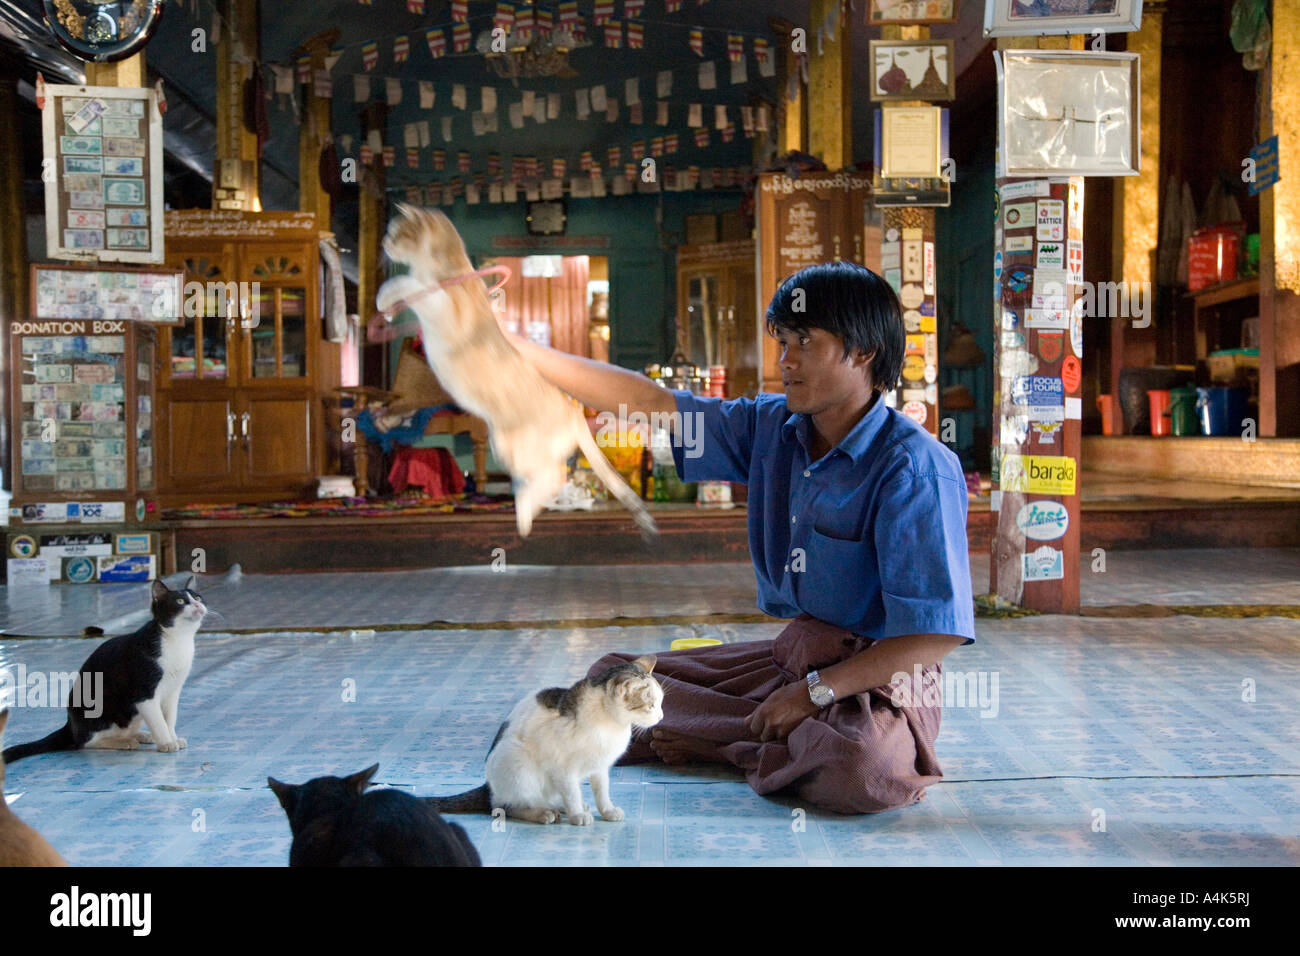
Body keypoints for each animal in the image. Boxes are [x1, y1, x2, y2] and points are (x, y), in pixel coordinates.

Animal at [0, 574, 205, 764]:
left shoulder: (173, 691)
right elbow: (158, 721)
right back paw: (124, 742)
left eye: (198, 597)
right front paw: (167, 743)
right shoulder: (144, 693)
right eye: (180, 601)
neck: (178, 640)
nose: (198, 606)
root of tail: (70, 724)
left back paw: (140, 735)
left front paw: (173, 737)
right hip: (100, 710)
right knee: (84, 742)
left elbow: (169, 718)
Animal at [377, 204, 660, 538]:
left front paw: (387, 294)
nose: (383, 243)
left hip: (516, 448)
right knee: (552, 476)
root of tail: (573, 411)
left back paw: (524, 514)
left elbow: (409, 285)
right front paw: (386, 306)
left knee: (553, 477)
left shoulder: (443, 305)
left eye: (394, 231)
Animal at [431, 655, 665, 827]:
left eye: (661, 702)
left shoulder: (599, 767)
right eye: (651, 705)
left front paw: (607, 811)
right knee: (504, 807)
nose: (661, 716)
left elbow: (602, 792)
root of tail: (488, 786)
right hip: (518, 766)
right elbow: (571, 793)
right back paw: (543, 813)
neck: (609, 725)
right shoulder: (563, 770)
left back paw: (559, 806)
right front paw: (577, 815)